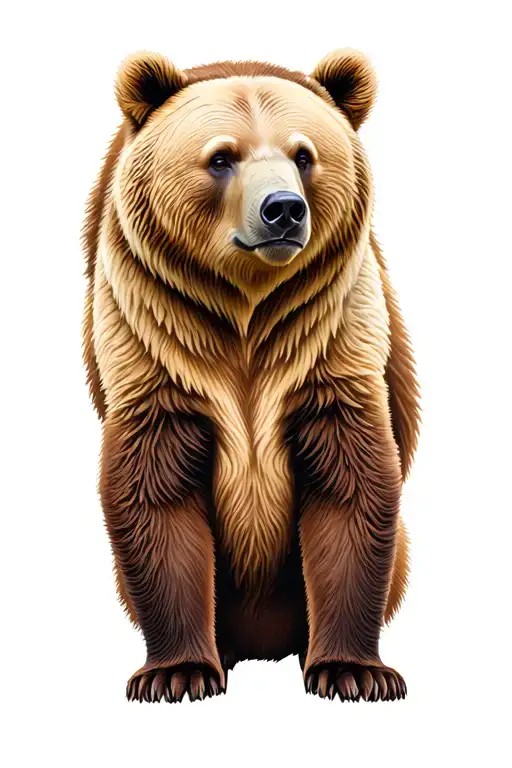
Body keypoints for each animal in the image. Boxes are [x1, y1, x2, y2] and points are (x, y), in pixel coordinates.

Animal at [82, 48, 420, 704]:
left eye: (303, 154)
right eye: (221, 157)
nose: (283, 209)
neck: (246, 310)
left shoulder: (331, 348)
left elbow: (351, 484)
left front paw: (354, 671)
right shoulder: (155, 347)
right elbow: (155, 491)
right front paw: (177, 672)